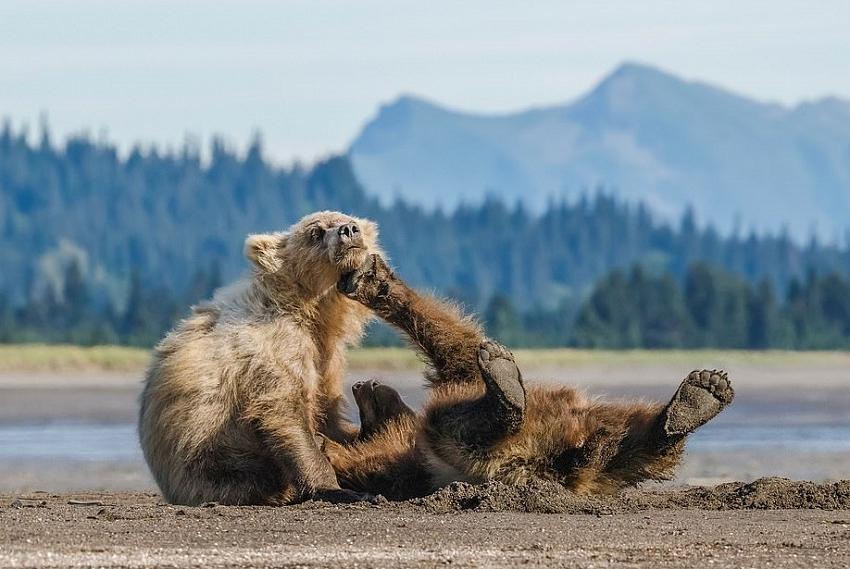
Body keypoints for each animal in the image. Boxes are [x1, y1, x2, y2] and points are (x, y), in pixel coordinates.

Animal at [138, 211, 380, 504]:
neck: (311, 311)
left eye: (346, 218)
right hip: (212, 459)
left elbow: (328, 410)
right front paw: (342, 489)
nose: (349, 230)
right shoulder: (278, 346)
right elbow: (286, 412)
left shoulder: (328, 356)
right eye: (316, 232)